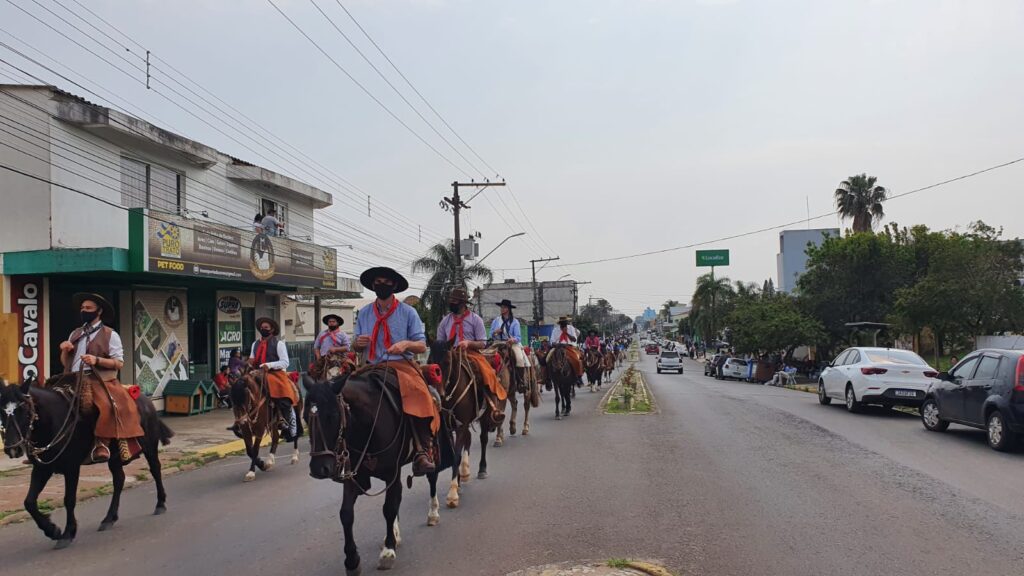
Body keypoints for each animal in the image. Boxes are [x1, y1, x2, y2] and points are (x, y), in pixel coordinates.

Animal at [0, 373, 172, 545]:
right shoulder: (42, 468)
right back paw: (109, 518)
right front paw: (52, 530)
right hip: (115, 457)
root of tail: (146, 400)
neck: (55, 419)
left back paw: (160, 504)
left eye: (24, 409)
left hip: (149, 446)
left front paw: (68, 533)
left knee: (155, 469)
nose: (12, 448)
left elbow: (69, 499)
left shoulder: (71, 468)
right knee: (119, 480)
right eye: (1, 411)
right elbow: (29, 502)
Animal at [299, 366, 452, 573]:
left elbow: (388, 508)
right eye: (305, 417)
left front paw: (388, 551)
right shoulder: (354, 478)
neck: (368, 425)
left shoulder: (392, 473)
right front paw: (352, 559)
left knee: (432, 478)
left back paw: (433, 514)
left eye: (332, 416)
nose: (318, 468)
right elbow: (346, 513)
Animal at [430, 336, 509, 506]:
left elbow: (456, 456)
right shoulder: (450, 427)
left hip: (485, 417)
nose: (438, 393)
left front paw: (453, 493)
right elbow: (455, 453)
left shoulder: (461, 426)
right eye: (431, 360)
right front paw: (458, 484)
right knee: (469, 438)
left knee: (483, 439)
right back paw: (465, 471)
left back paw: (482, 469)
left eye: (447, 362)